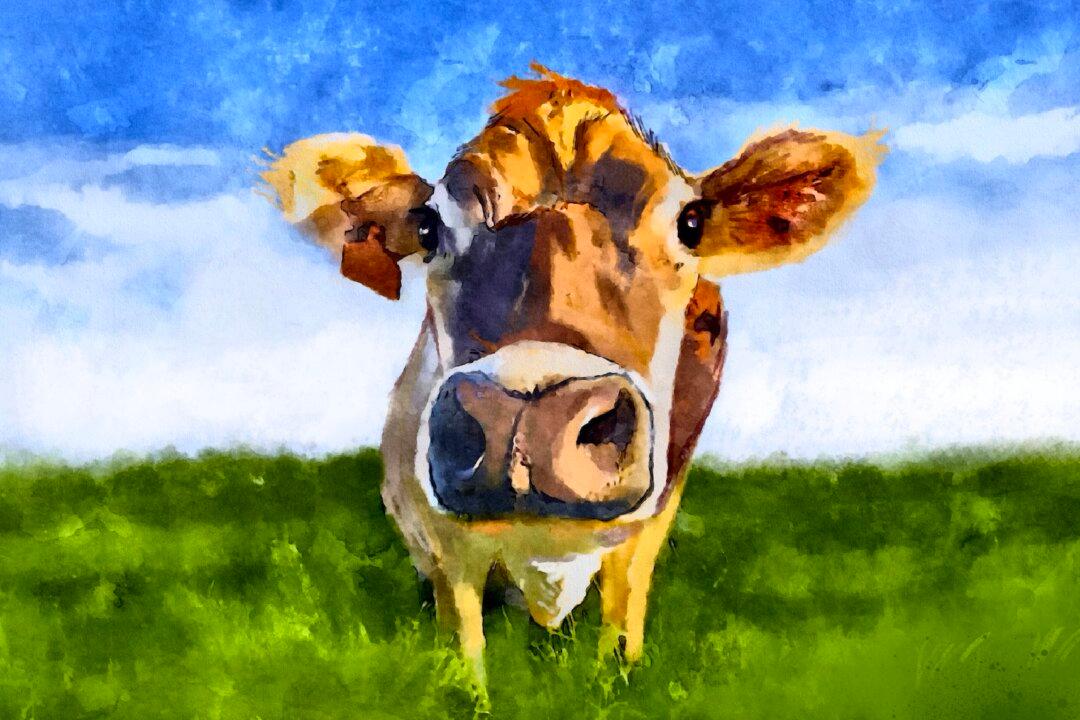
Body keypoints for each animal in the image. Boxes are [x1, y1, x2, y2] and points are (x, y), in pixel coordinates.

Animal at [262, 65, 883, 682]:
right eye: (427, 231)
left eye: (690, 223)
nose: (529, 417)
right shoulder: (442, 542)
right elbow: (464, 661)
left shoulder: (647, 525)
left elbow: (620, 636)